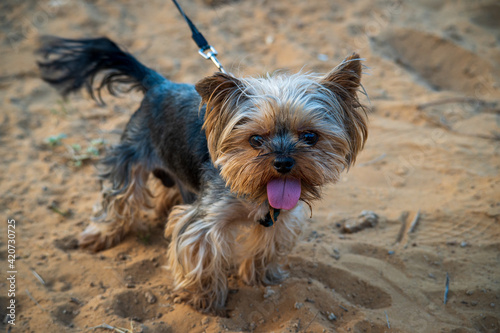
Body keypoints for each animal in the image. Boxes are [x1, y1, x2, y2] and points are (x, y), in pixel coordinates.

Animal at [36, 37, 368, 314]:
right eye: (255, 140)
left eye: (310, 136)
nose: (284, 162)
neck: (255, 191)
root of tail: (158, 84)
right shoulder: (205, 221)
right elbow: (201, 255)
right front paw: (206, 300)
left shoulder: (280, 216)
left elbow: (267, 246)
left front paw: (261, 276)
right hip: (130, 153)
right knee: (118, 195)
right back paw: (99, 234)